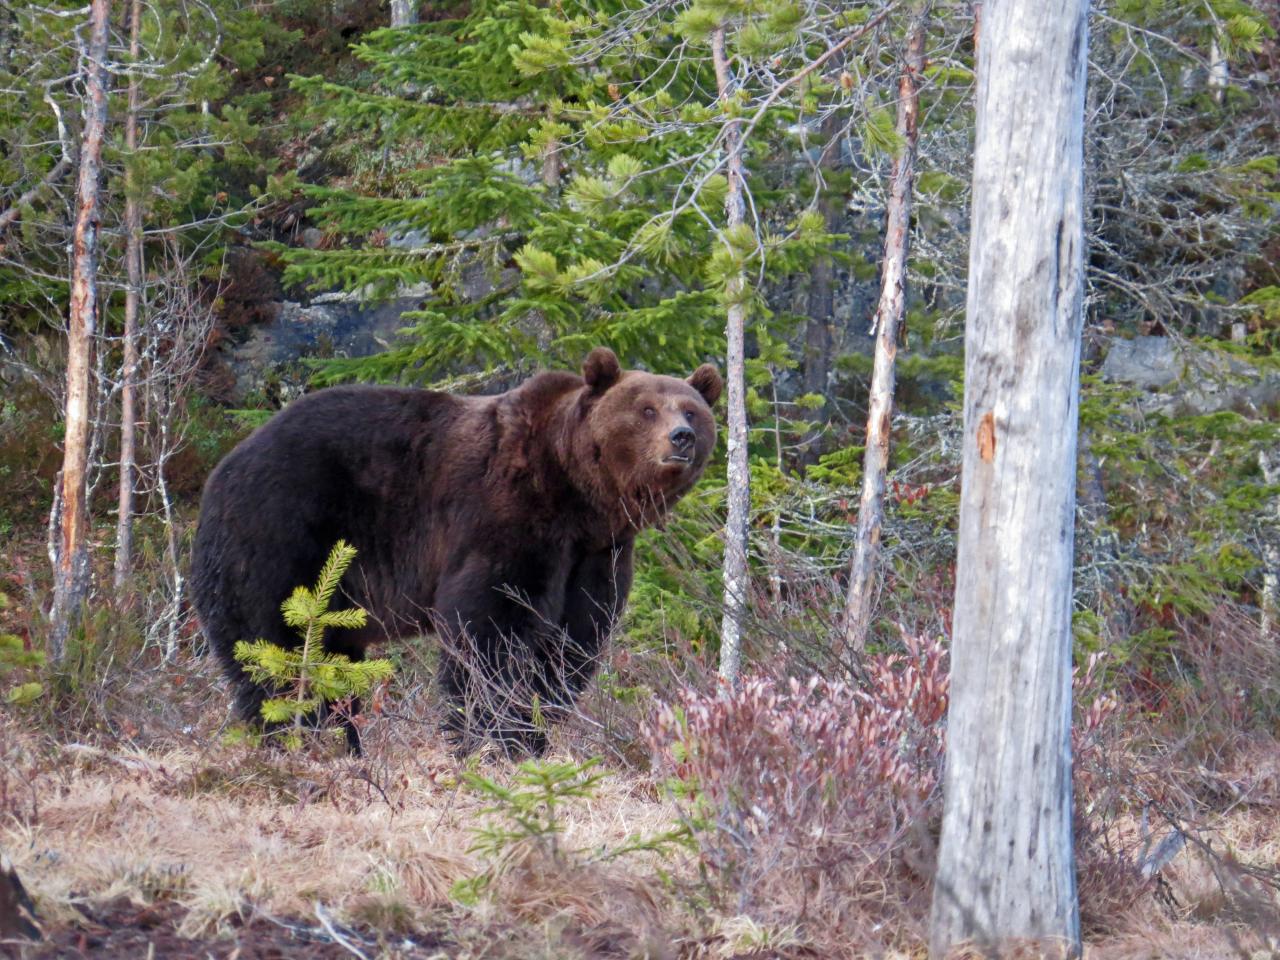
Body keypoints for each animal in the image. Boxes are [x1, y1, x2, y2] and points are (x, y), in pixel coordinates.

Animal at [189, 350, 721, 757]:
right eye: (646, 409)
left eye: (691, 410)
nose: (682, 438)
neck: (577, 496)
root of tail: (220, 469)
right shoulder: (504, 515)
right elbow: (489, 628)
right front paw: (490, 737)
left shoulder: (596, 554)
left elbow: (573, 640)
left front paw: (534, 732)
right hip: (282, 537)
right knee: (275, 646)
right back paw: (299, 735)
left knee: (334, 660)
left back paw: (343, 742)